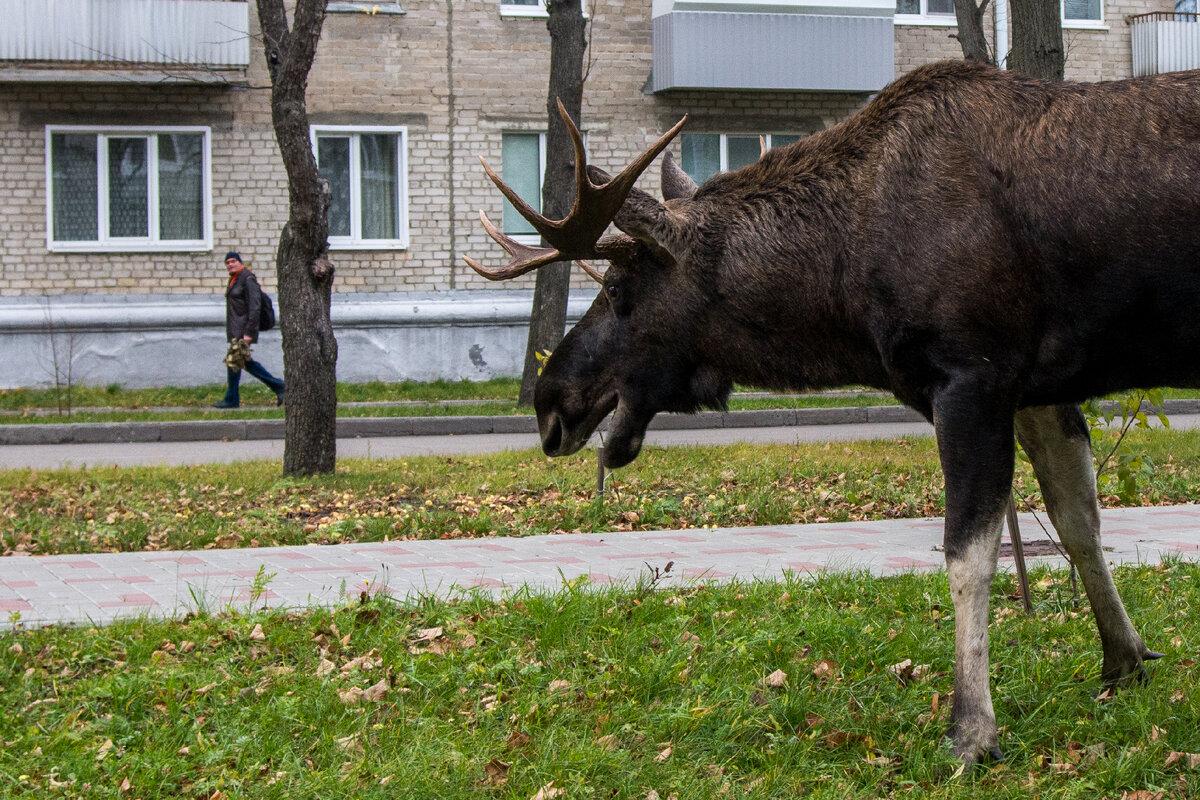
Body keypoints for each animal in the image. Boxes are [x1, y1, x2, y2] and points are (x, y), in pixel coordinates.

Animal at [463, 59, 1200, 763]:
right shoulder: (1038, 386)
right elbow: (1078, 519)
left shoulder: (975, 377)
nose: (550, 403)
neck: (844, 292)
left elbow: (968, 555)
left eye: (619, 290)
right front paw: (1124, 660)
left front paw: (973, 732)